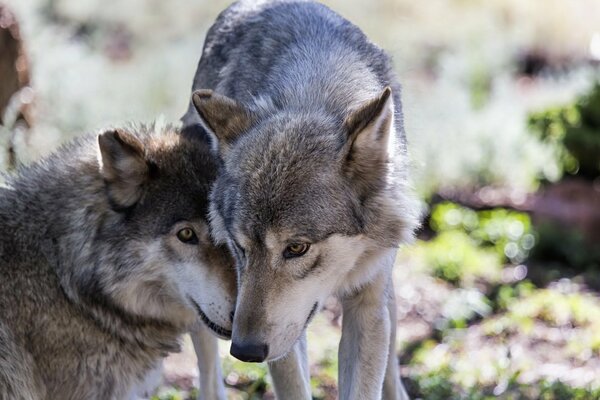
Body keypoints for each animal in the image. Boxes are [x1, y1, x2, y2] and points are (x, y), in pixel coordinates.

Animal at [183, 1, 422, 398]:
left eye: (296, 248)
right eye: (240, 247)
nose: (245, 350)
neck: (315, 90)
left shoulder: (367, 306)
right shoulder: (278, 334)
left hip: (384, 294)